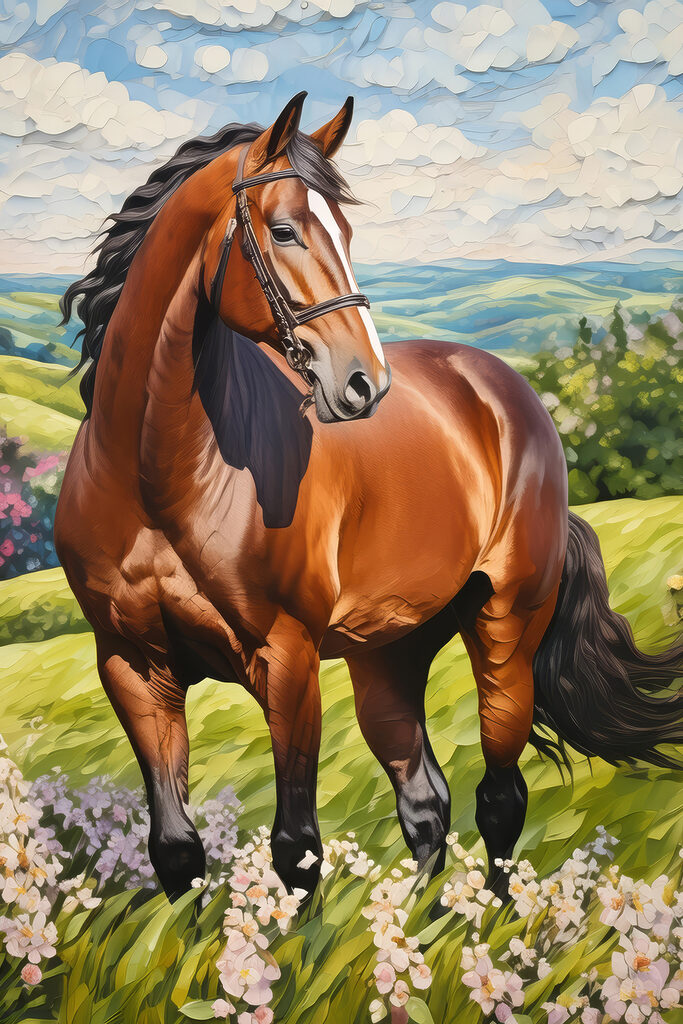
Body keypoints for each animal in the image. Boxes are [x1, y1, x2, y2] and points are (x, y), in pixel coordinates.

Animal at [56, 92, 682, 905]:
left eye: (347, 231)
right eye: (283, 229)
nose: (363, 383)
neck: (156, 476)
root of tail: (508, 392)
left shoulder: (287, 661)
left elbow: (296, 850)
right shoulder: (132, 666)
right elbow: (176, 851)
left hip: (507, 627)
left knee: (499, 798)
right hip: (387, 652)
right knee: (425, 802)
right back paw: (418, 925)